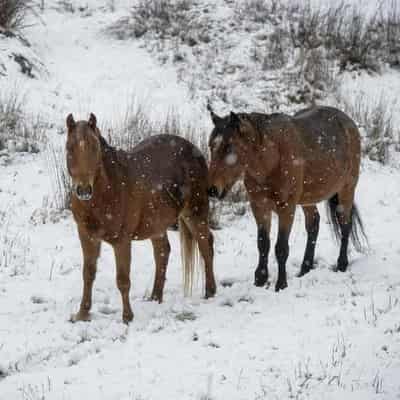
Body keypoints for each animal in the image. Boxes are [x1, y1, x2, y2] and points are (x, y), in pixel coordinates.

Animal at [65, 113, 216, 324]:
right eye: (69, 148)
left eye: (94, 148)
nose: (84, 190)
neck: (107, 190)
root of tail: (195, 150)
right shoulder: (87, 236)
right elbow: (88, 274)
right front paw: (83, 314)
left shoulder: (121, 241)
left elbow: (123, 280)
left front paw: (127, 317)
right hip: (158, 224)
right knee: (163, 252)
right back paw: (155, 297)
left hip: (195, 213)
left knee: (206, 245)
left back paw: (210, 292)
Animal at [208, 104, 368, 292]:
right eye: (211, 146)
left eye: (229, 148)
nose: (212, 189)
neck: (272, 158)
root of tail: (348, 121)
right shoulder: (259, 206)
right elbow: (263, 244)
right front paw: (260, 280)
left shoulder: (286, 208)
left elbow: (281, 248)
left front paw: (281, 284)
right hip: (308, 199)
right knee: (314, 224)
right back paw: (305, 268)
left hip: (346, 190)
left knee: (345, 224)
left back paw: (341, 264)